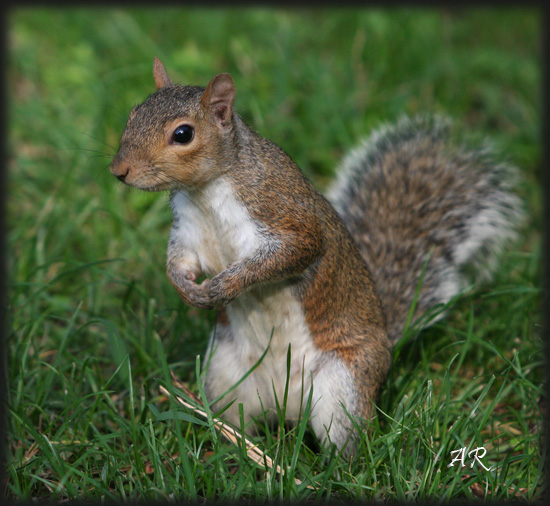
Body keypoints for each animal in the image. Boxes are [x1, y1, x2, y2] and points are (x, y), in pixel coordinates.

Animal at [110, 57, 524, 456]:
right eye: (131, 114)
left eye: (183, 134)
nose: (118, 171)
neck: (205, 191)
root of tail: (286, 408)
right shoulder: (189, 232)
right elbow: (178, 264)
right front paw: (187, 289)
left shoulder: (284, 213)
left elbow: (292, 252)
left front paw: (226, 286)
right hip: (224, 377)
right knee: (237, 422)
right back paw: (237, 450)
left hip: (343, 386)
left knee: (347, 442)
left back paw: (334, 468)